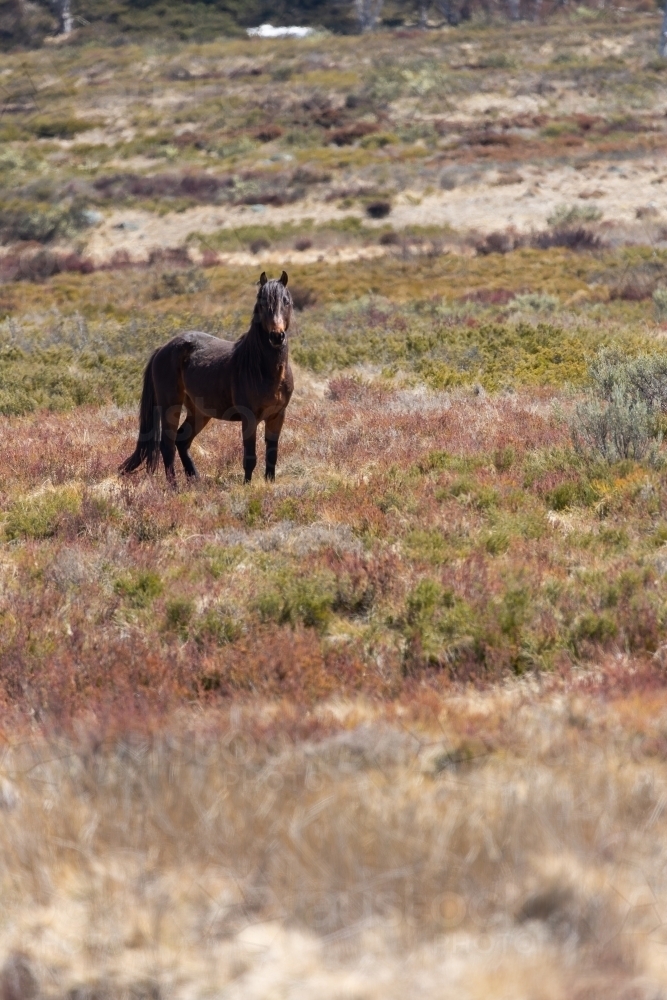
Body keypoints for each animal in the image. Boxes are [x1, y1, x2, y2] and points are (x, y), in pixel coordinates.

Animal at [119, 268, 294, 482]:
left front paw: (269, 483)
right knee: (167, 445)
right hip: (170, 405)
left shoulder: (277, 415)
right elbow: (250, 457)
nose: (276, 336)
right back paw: (174, 486)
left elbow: (272, 454)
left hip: (199, 412)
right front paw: (247, 485)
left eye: (286, 301)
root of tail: (163, 348)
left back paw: (195, 479)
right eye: (262, 303)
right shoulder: (249, 417)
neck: (264, 370)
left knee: (181, 440)